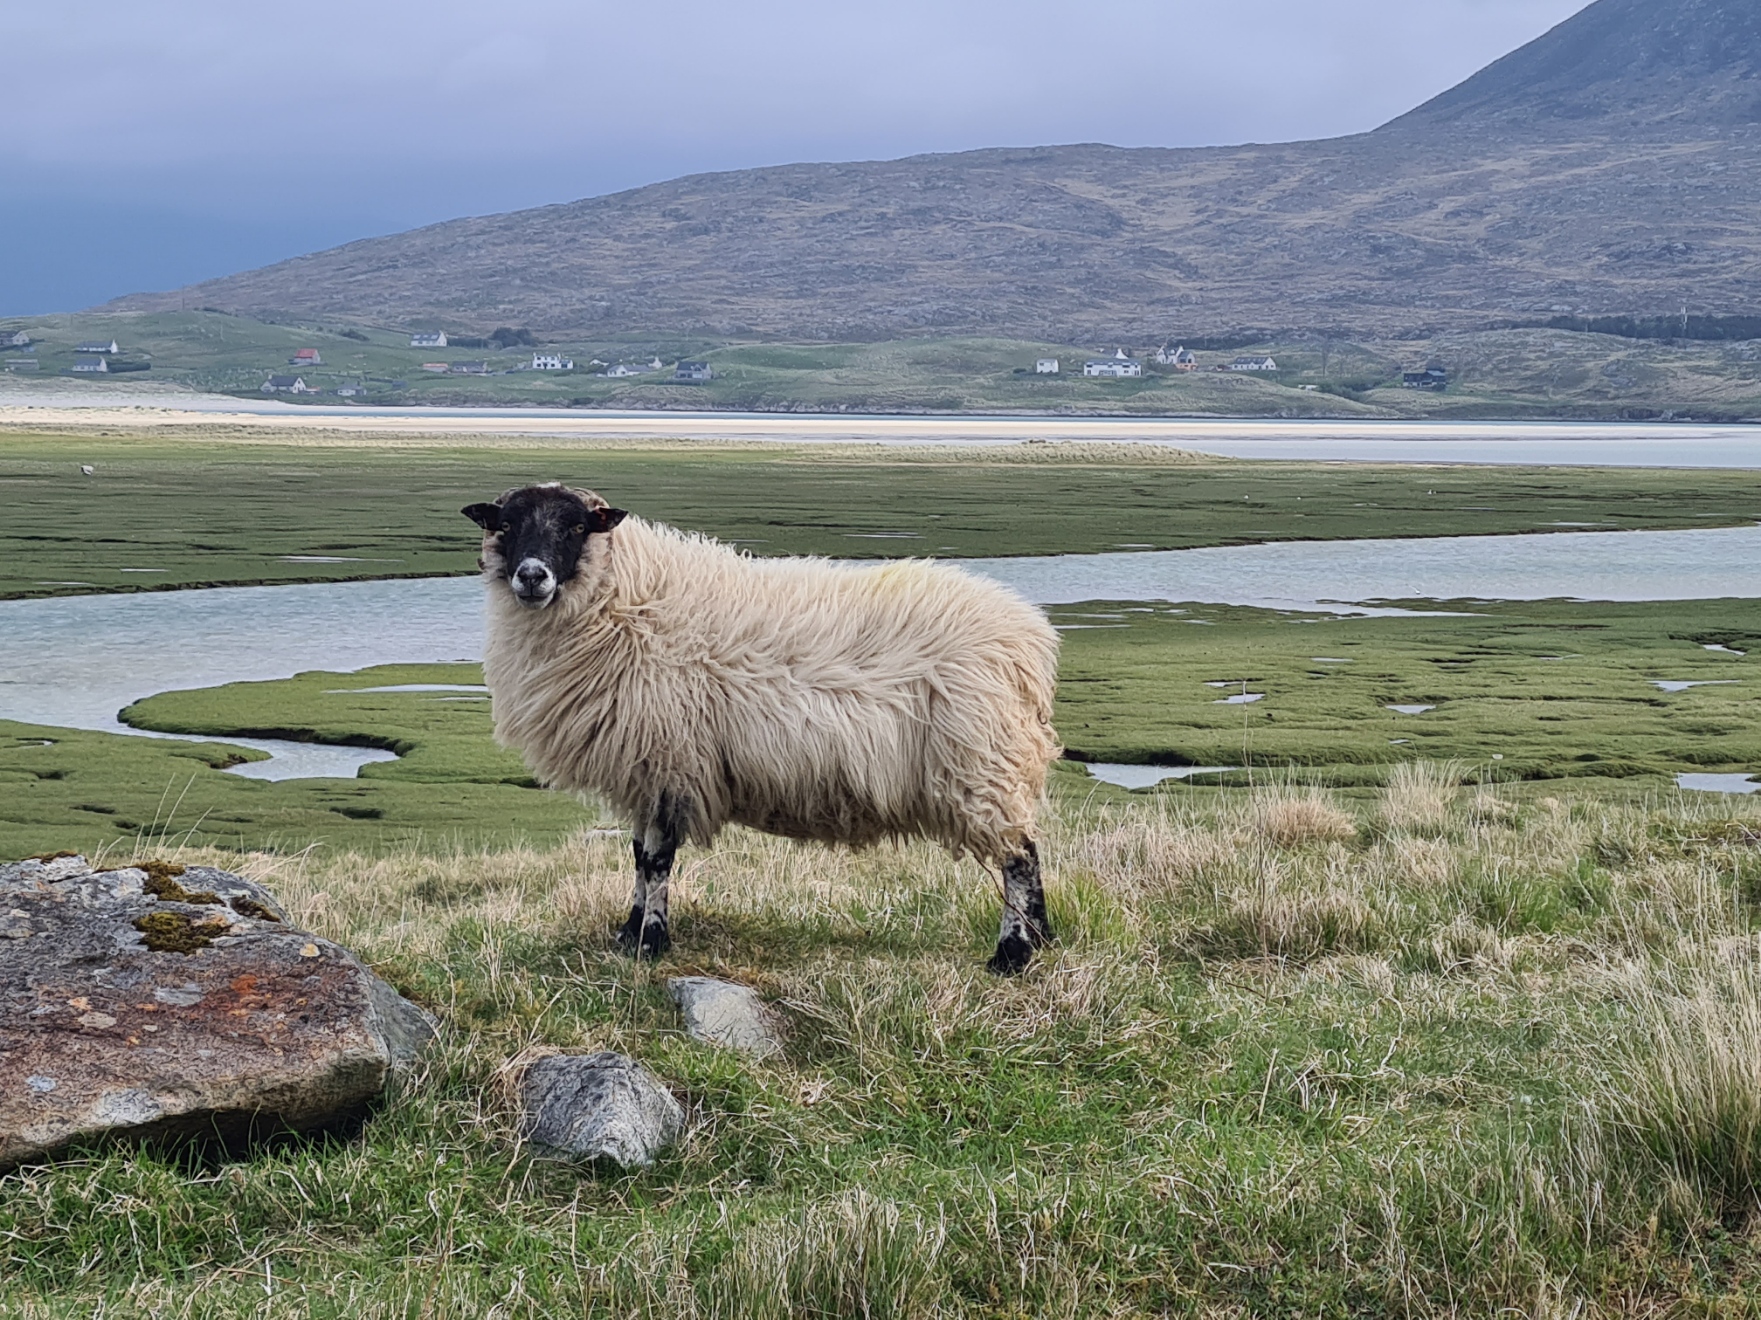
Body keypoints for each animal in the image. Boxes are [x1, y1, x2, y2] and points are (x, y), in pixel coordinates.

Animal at [462, 482, 1063, 974]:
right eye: (506, 524)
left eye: (577, 527)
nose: (532, 576)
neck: (625, 601)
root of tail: (1028, 640)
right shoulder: (645, 771)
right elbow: (636, 857)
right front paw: (628, 932)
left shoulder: (671, 761)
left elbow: (657, 860)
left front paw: (651, 943)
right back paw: (1043, 941)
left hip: (981, 761)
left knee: (1020, 857)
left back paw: (1013, 954)